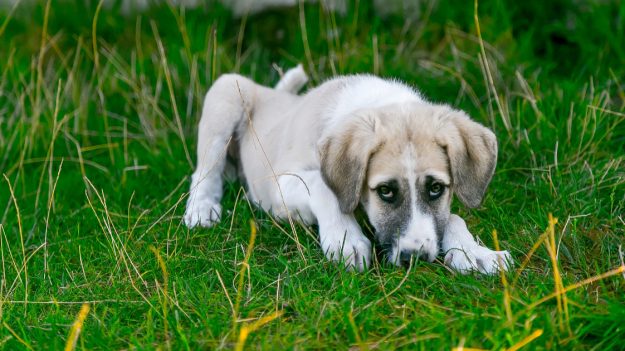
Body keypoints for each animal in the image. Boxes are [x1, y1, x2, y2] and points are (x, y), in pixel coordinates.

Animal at [183, 66, 510, 276]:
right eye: (385, 191)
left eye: (436, 188)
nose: (414, 258)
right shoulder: (280, 185)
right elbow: (323, 187)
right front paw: (345, 239)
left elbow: (452, 217)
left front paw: (474, 252)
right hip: (227, 92)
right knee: (204, 171)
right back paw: (202, 208)